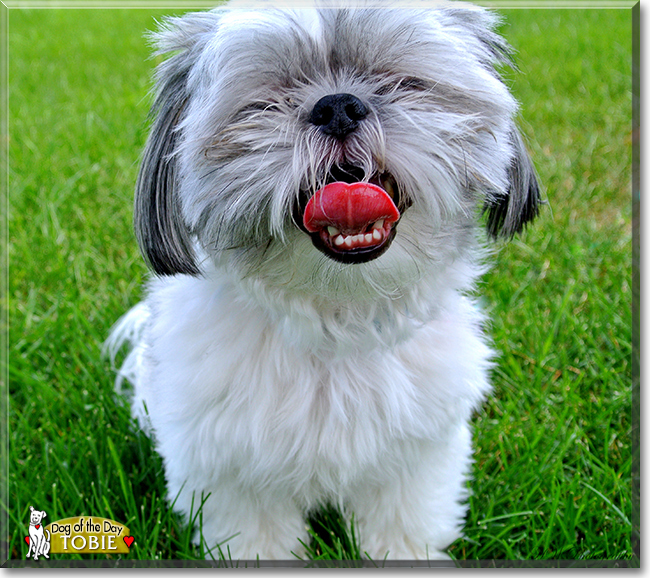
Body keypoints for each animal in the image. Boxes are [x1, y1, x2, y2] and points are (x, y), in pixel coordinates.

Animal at [109, 0, 540, 560]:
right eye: (266, 102)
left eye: (402, 83)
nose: (338, 106)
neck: (338, 315)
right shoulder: (232, 476)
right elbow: (256, 537)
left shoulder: (416, 458)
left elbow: (403, 522)